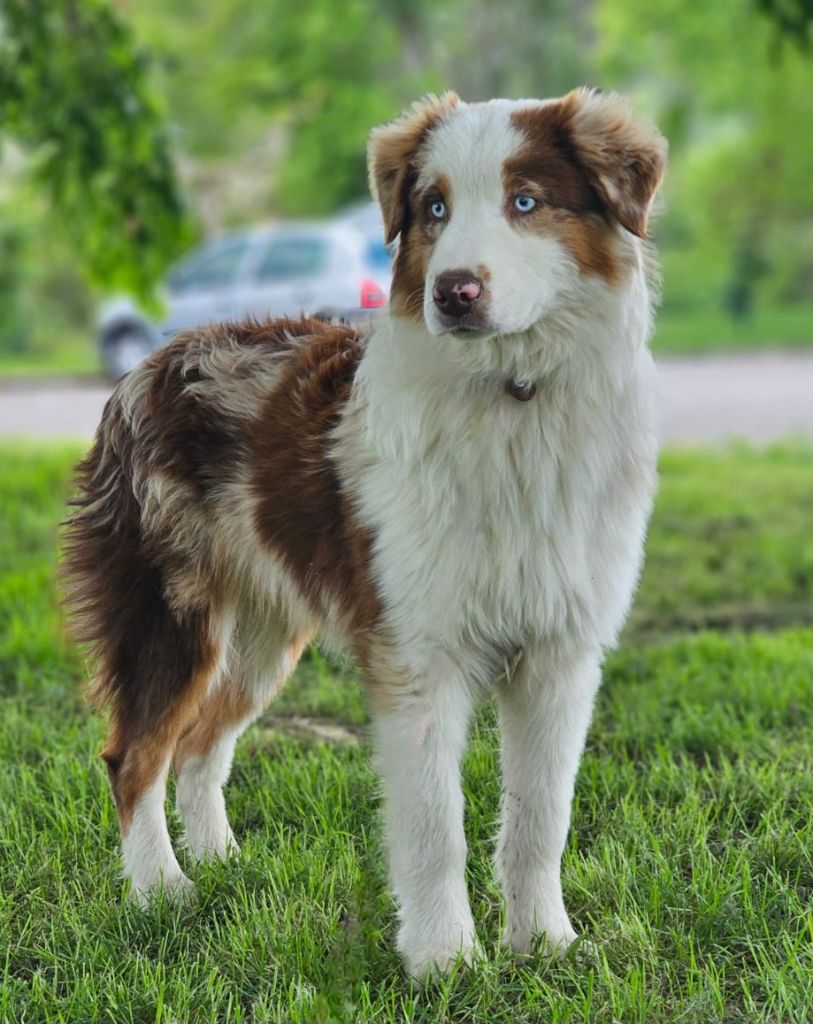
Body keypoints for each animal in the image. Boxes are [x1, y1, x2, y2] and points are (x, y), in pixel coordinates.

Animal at [63, 88, 663, 974]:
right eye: (434, 208)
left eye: (525, 202)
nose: (453, 291)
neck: (511, 397)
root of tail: (153, 360)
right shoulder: (418, 653)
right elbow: (435, 826)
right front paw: (445, 961)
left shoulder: (561, 651)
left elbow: (539, 818)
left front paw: (543, 944)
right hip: (170, 613)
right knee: (133, 754)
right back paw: (161, 890)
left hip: (266, 635)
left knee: (201, 742)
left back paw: (220, 860)